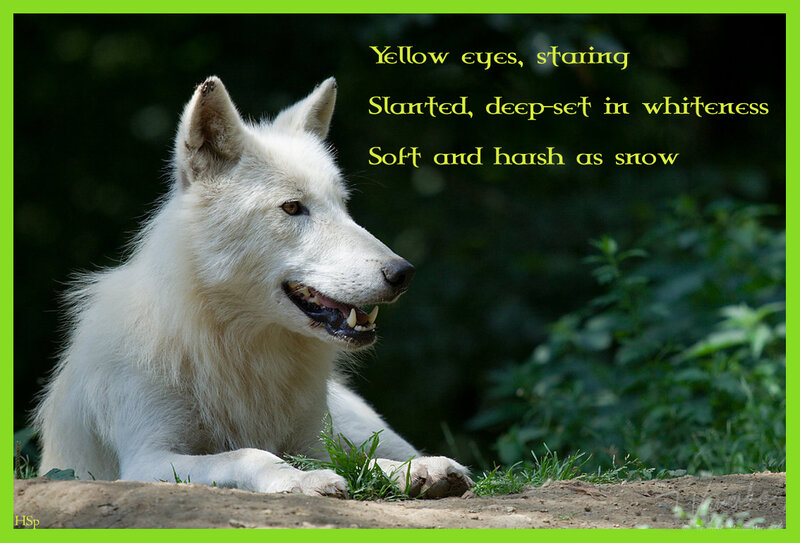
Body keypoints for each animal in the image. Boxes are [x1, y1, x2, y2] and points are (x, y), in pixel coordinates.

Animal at [34, 76, 472, 498]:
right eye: (292, 207)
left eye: (343, 206)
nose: (403, 272)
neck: (236, 346)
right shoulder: (148, 459)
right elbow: (251, 453)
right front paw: (302, 480)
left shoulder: (311, 442)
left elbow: (358, 462)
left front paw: (410, 473)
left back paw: (425, 466)